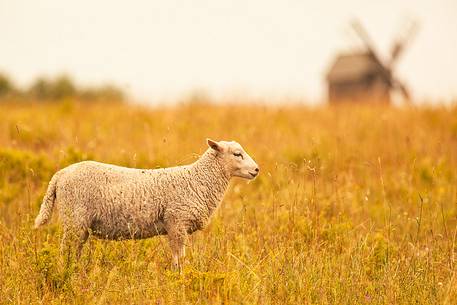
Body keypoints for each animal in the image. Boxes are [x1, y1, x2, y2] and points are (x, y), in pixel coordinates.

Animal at [33, 138, 258, 268]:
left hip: (79, 226)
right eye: (237, 154)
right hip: (74, 220)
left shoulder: (177, 226)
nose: (257, 170)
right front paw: (180, 279)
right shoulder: (176, 223)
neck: (197, 180)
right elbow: (179, 258)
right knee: (65, 252)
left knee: (74, 252)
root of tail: (60, 175)